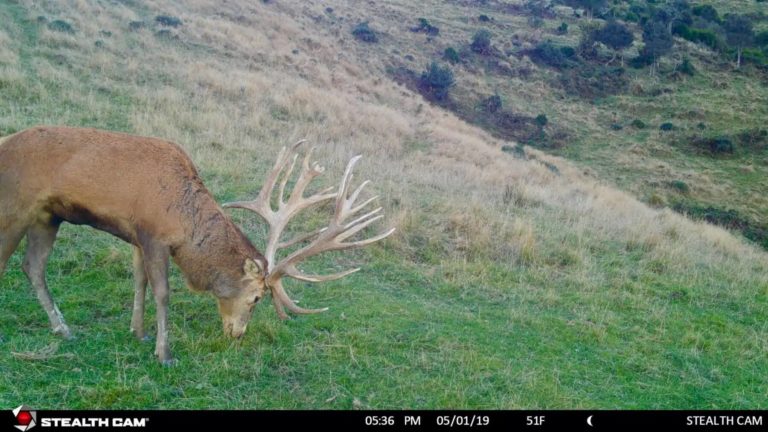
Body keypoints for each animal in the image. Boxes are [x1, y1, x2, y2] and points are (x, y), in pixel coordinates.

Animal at [0, 126, 393, 364]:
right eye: (256, 298)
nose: (238, 333)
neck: (183, 224)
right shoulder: (155, 236)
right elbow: (163, 292)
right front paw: (163, 352)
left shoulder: (136, 237)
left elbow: (139, 282)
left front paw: (138, 332)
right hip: (16, 207)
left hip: (47, 217)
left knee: (32, 265)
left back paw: (62, 328)